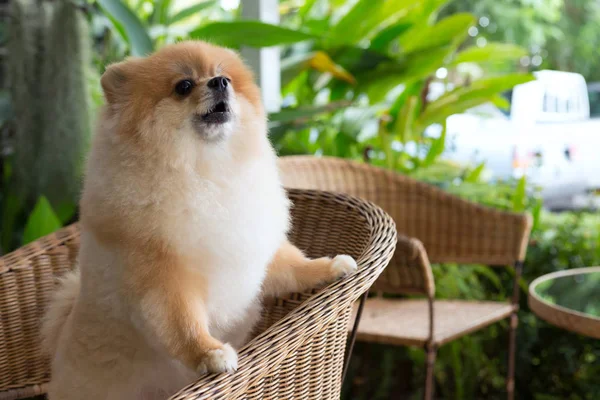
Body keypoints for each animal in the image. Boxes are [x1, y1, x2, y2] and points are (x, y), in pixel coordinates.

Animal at [42, 41, 358, 400]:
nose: (219, 83)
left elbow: (295, 266)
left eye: (226, 77)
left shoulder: (256, 249)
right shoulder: (165, 279)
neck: (207, 171)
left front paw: (330, 266)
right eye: (184, 86)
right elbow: (183, 324)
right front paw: (211, 353)